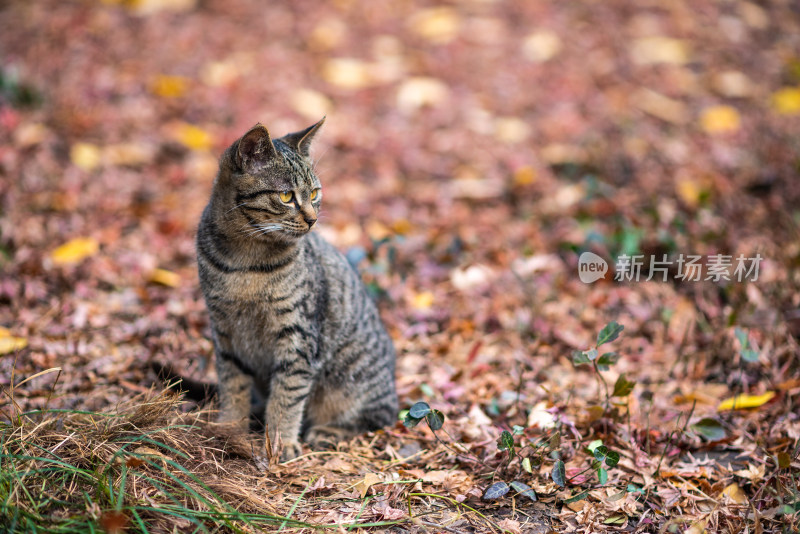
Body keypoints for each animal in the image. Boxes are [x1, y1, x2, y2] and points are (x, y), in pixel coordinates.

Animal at [197, 119, 396, 462]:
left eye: (314, 193)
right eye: (287, 196)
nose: (313, 220)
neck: (245, 260)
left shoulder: (297, 337)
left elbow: (287, 396)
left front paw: (280, 442)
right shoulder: (225, 332)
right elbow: (233, 386)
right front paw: (229, 429)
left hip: (354, 383)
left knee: (377, 418)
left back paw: (328, 431)